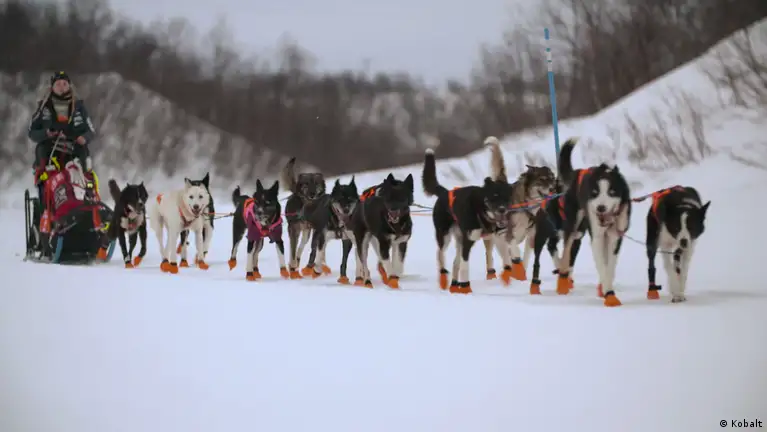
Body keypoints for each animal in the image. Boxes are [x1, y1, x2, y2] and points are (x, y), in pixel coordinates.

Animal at [422, 147, 514, 294]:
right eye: (494, 196)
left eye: (507, 197)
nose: (502, 210)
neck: (482, 212)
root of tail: (444, 192)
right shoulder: (468, 241)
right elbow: (465, 267)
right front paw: (465, 287)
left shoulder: (499, 238)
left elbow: (507, 259)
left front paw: (506, 277)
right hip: (445, 237)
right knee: (440, 255)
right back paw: (443, 278)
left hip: (459, 239)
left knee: (455, 262)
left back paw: (454, 284)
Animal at [483, 136, 558, 288]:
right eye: (542, 179)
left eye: (552, 178)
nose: (553, 189)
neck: (526, 206)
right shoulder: (507, 234)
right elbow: (514, 251)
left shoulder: (531, 236)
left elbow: (526, 257)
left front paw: (522, 275)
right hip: (492, 239)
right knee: (493, 255)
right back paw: (493, 275)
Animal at [556, 138, 631, 306]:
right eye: (595, 193)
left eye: (612, 192)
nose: (600, 208)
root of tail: (578, 171)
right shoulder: (596, 238)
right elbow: (602, 265)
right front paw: (609, 293)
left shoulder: (616, 237)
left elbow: (610, 266)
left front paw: (605, 288)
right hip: (573, 226)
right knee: (566, 253)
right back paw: (562, 284)